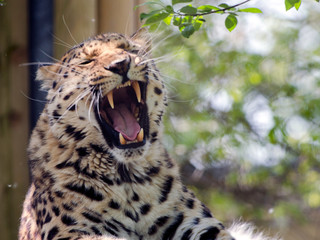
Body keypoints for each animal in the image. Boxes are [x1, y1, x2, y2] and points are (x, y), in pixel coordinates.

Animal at [19, 29, 278, 239]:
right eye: (87, 61)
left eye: (128, 49)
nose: (121, 64)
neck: (128, 179)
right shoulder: (71, 232)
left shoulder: (197, 225)